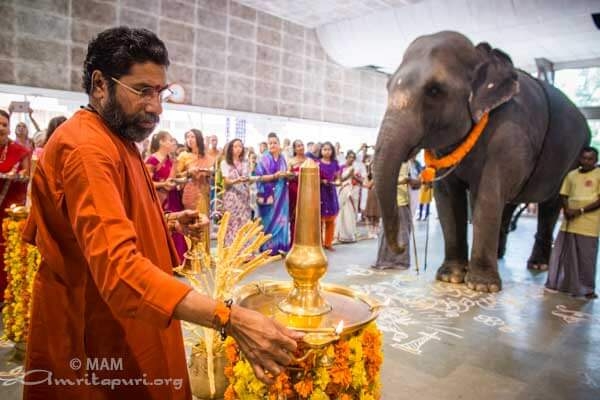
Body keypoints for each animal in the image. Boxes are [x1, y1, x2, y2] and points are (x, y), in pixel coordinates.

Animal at [376, 29, 592, 292]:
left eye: (434, 90)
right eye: (387, 87)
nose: (401, 247)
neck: (480, 55)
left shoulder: (509, 131)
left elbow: (488, 194)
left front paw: (482, 287)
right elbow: (447, 196)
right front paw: (450, 277)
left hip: (570, 159)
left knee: (550, 205)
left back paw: (538, 265)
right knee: (509, 202)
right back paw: (499, 254)